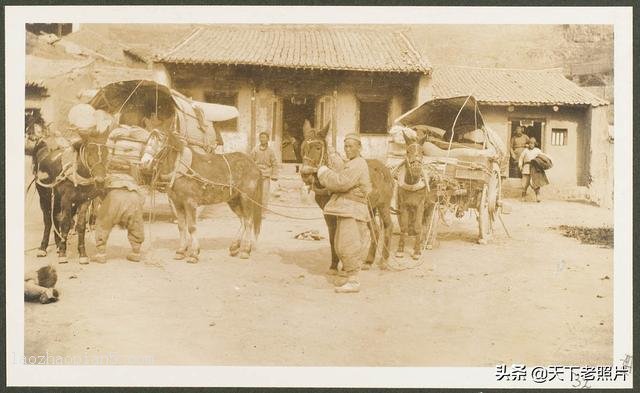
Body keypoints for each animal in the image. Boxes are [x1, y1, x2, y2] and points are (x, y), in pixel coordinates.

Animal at [25, 129, 109, 264]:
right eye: (89, 153)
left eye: (107, 153)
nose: (100, 181)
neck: (77, 172)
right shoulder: (66, 199)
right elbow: (65, 224)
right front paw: (63, 254)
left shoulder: (84, 201)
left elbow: (80, 225)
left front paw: (82, 254)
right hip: (44, 197)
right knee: (48, 221)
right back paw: (43, 248)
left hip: (57, 199)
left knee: (55, 217)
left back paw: (58, 244)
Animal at [144, 130, 262, 262]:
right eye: (148, 141)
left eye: (161, 143)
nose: (144, 163)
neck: (180, 170)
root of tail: (254, 165)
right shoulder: (177, 203)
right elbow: (181, 226)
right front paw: (181, 251)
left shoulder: (190, 203)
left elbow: (191, 227)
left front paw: (194, 253)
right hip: (234, 200)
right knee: (243, 220)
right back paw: (235, 246)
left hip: (246, 197)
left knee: (249, 221)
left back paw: (246, 250)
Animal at [298, 121, 392, 272]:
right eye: (302, 147)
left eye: (318, 147)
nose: (306, 175)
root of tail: (384, 167)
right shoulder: (327, 213)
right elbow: (332, 238)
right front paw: (334, 265)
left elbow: (339, 236)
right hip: (369, 208)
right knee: (375, 229)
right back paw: (368, 261)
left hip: (384, 205)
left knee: (389, 226)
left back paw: (384, 260)